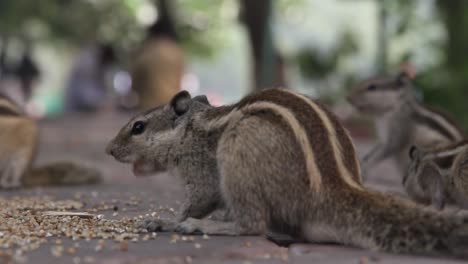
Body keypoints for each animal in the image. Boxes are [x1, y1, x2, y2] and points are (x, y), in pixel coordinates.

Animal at [107, 88, 468, 256]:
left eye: (138, 127)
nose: (109, 150)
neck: (192, 127)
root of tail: (334, 190)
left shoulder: (203, 171)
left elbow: (198, 201)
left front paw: (169, 220)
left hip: (238, 148)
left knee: (252, 225)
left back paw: (205, 227)